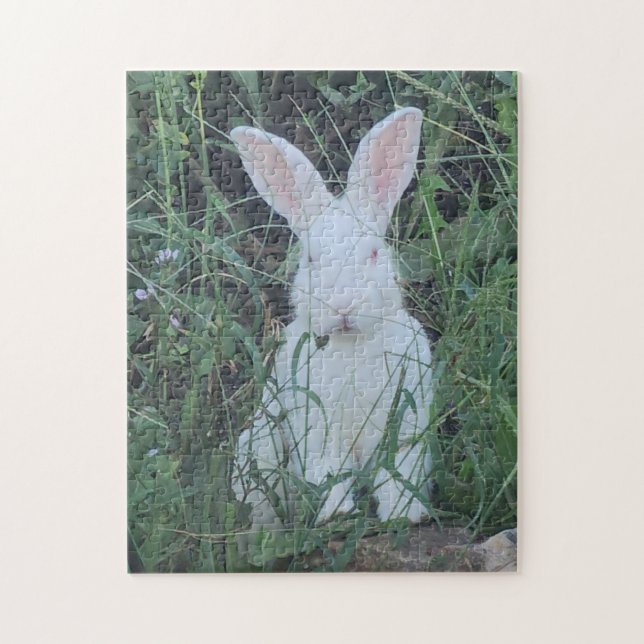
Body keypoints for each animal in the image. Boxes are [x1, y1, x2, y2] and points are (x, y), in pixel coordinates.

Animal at [230, 107, 433, 533]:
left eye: (374, 253)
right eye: (309, 258)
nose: (343, 306)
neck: (351, 344)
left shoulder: (408, 419)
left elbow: (398, 473)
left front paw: (405, 516)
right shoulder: (318, 429)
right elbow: (329, 474)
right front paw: (337, 516)